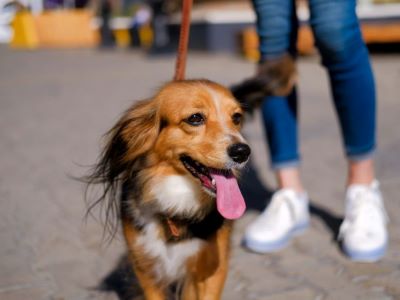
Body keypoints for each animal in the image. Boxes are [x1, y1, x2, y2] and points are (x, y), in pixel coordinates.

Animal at [87, 78, 250, 298]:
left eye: (236, 118)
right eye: (195, 118)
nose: (243, 152)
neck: (177, 200)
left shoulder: (212, 268)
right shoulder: (146, 266)